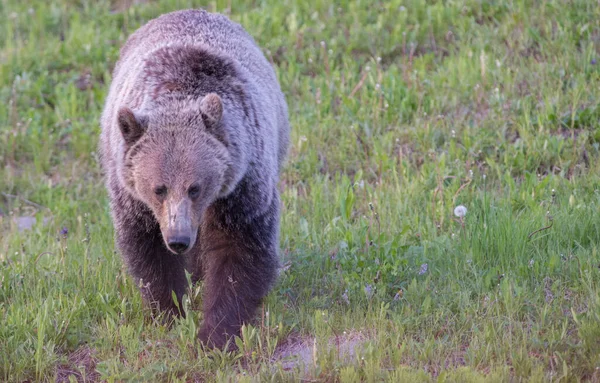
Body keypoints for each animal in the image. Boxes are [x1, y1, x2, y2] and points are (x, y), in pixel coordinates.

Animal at [99, 9, 290, 352]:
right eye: (158, 188)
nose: (178, 239)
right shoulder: (132, 195)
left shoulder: (242, 187)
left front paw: (214, 334)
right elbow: (149, 250)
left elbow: (240, 250)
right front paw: (171, 311)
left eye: (195, 187)